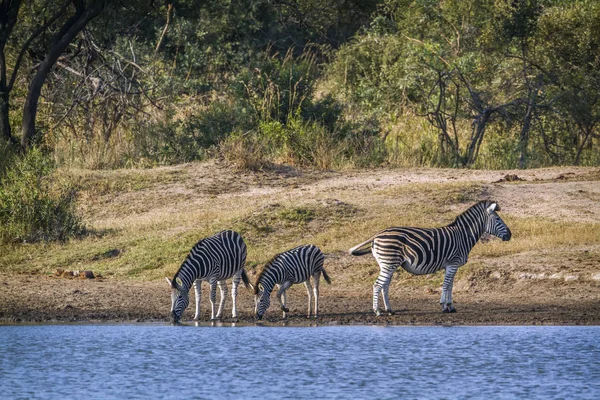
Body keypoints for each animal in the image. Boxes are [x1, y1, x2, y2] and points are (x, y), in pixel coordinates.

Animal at [346, 200, 510, 316]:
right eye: (497, 220)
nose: (510, 235)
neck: (463, 236)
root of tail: (377, 235)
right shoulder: (452, 263)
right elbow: (446, 285)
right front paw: (444, 306)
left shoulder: (452, 265)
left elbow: (451, 286)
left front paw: (451, 306)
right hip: (389, 263)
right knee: (377, 285)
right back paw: (377, 311)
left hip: (387, 264)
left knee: (384, 286)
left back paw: (390, 310)